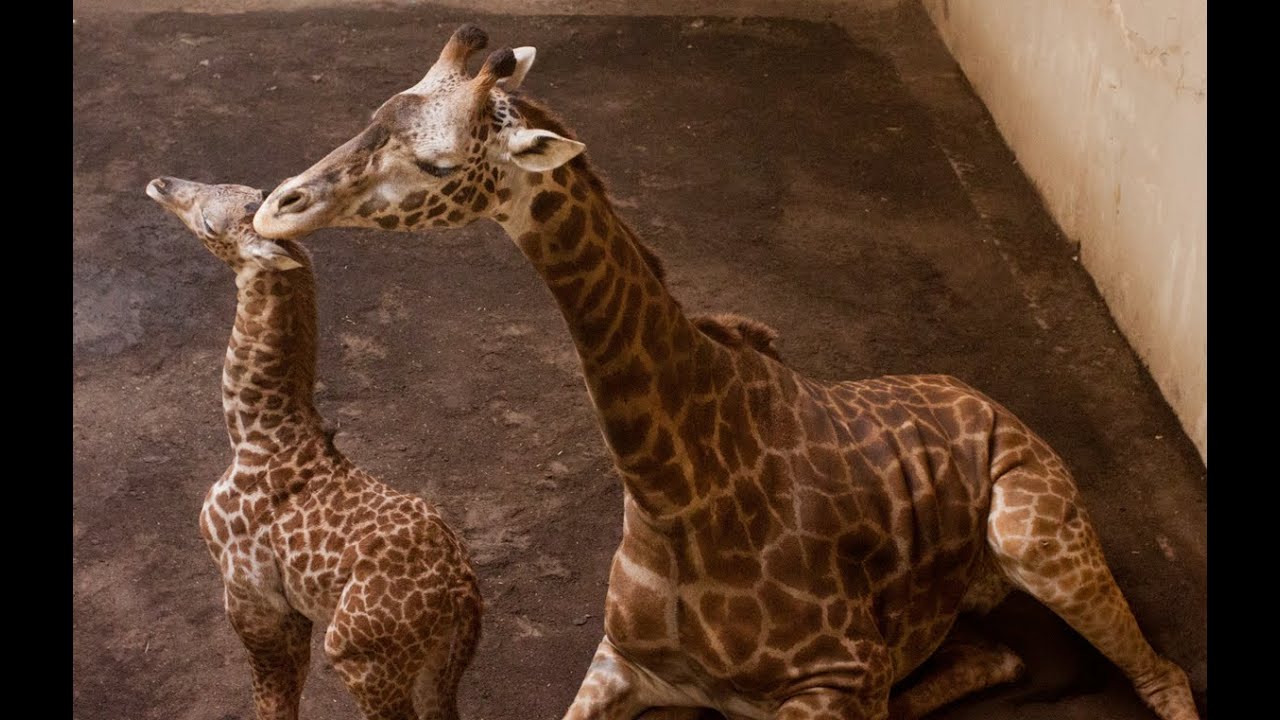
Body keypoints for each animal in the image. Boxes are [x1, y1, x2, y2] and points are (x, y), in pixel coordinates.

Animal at [146, 176, 482, 720]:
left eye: (210, 224)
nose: (162, 184)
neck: (255, 433)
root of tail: (461, 595)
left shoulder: (251, 596)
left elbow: (272, 696)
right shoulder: (292, 607)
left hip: (361, 659)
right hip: (442, 663)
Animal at [250, 26, 1199, 720]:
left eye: (439, 164)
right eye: (378, 109)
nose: (275, 206)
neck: (677, 494)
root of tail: (988, 397)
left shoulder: (839, 679)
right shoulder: (620, 666)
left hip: (1035, 533)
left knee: (1164, 677)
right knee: (995, 655)